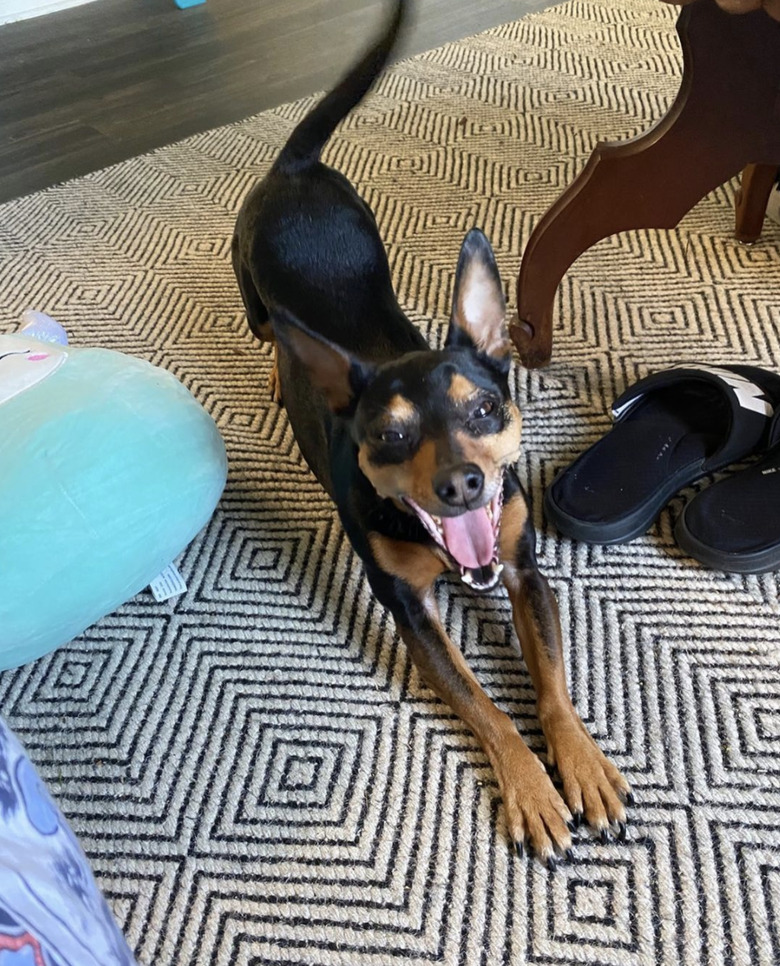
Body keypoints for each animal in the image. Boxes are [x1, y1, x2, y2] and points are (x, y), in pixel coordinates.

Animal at [233, 0, 632, 864]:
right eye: (387, 437)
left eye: (483, 408)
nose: (460, 483)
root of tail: (294, 168)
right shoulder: (410, 611)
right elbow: (481, 701)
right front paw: (531, 789)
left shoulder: (521, 566)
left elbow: (551, 680)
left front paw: (580, 762)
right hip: (251, 291)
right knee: (268, 332)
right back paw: (278, 373)